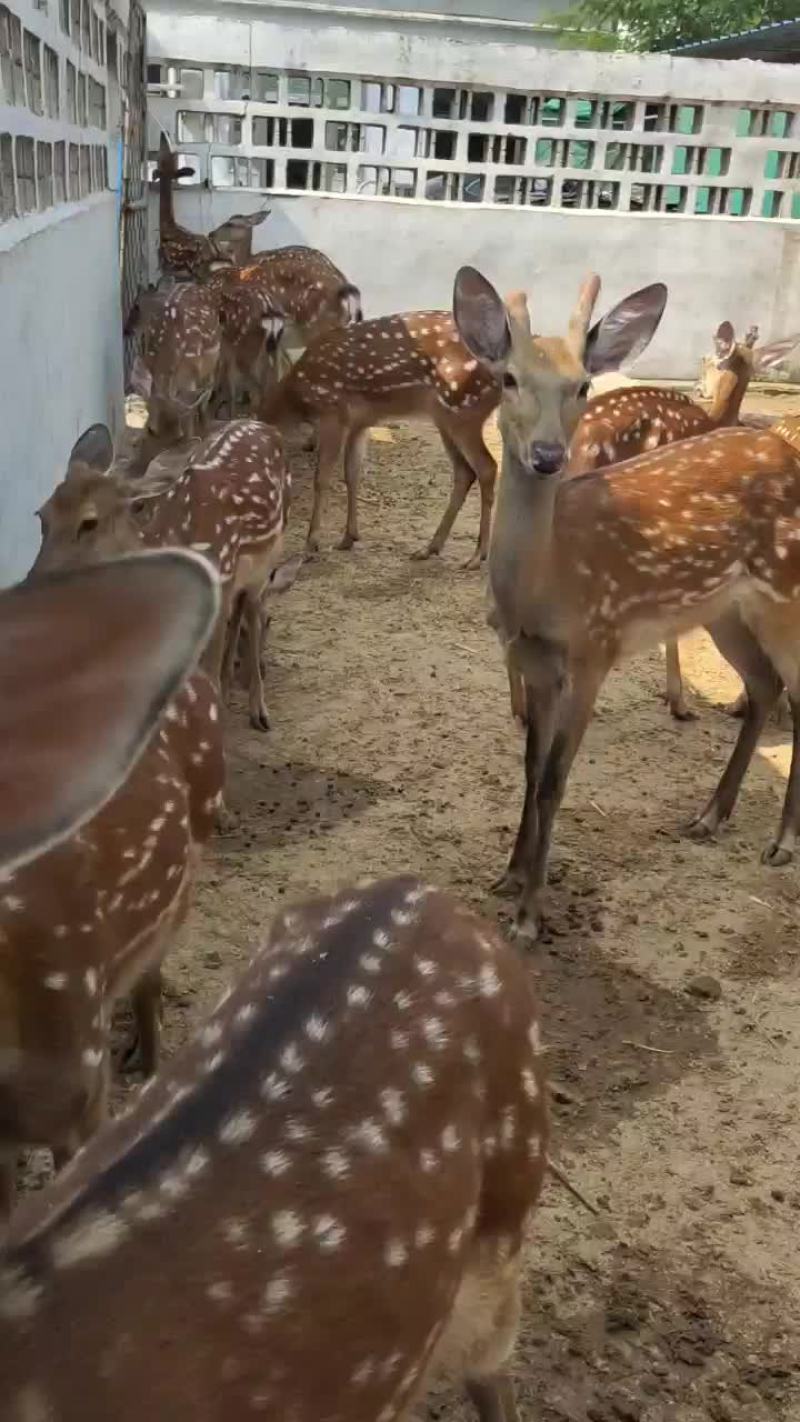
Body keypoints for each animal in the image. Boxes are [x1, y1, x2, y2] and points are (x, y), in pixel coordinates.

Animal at [32, 421, 295, 735]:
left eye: (89, 522)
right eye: (41, 514)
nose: (35, 579)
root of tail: (261, 425)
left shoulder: (220, 581)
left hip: (267, 559)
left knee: (255, 610)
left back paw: (258, 711)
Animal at [260, 311, 501, 564]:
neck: (295, 400)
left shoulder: (332, 414)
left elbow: (322, 478)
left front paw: (310, 545)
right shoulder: (359, 423)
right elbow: (352, 474)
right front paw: (348, 537)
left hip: (463, 410)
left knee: (487, 467)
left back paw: (478, 555)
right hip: (445, 418)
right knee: (465, 472)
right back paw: (430, 548)